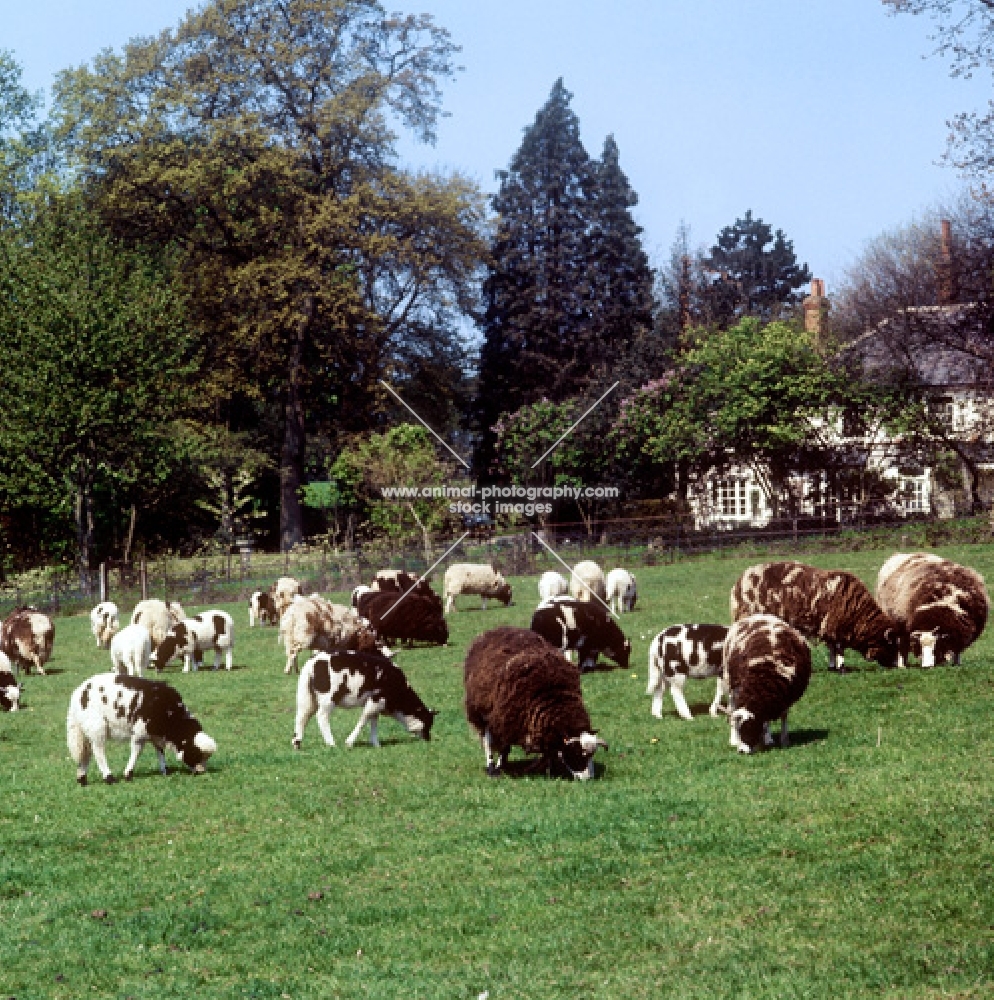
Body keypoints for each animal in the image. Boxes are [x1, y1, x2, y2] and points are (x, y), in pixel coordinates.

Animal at [66, 676, 215, 784]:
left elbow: (160, 752)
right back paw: (109, 777)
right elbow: (137, 752)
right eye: (196, 753)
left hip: (85, 730)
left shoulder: (156, 736)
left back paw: (82, 778)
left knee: (86, 752)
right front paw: (128, 774)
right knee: (98, 752)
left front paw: (165, 770)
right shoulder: (140, 732)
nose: (202, 771)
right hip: (97, 726)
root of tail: (77, 694)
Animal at [292, 648, 436, 752]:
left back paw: (297, 744)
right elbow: (364, 719)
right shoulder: (376, 699)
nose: (429, 740)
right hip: (328, 698)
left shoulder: (377, 704)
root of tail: (312, 662)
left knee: (301, 717)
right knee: (321, 717)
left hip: (306, 697)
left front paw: (376, 744)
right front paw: (349, 742)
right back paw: (331, 743)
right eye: (428, 721)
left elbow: (373, 721)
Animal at [720, 608, 812, 756]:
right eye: (741, 730)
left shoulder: (785, 696)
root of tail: (760, 615)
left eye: (749, 727)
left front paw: (783, 740)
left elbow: (783, 716)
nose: (741, 751)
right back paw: (733, 739)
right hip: (730, 682)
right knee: (732, 707)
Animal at [724, 564, 904, 672]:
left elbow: (832, 647)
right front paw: (842, 668)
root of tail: (738, 583)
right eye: (892, 645)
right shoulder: (836, 626)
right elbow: (839, 649)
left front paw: (833, 666)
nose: (897, 666)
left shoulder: (830, 628)